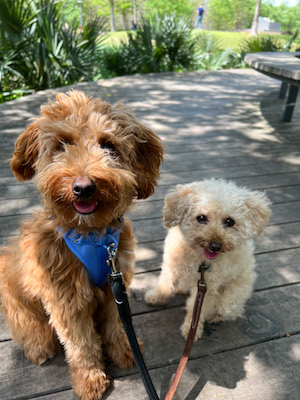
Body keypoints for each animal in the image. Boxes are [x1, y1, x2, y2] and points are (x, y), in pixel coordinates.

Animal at [144, 179, 270, 340]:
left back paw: (214, 316)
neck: (199, 259)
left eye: (230, 222)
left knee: (232, 311)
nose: (215, 246)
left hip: (231, 298)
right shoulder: (170, 265)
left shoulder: (209, 287)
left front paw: (191, 330)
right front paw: (156, 297)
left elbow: (196, 309)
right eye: (201, 218)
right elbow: (164, 283)